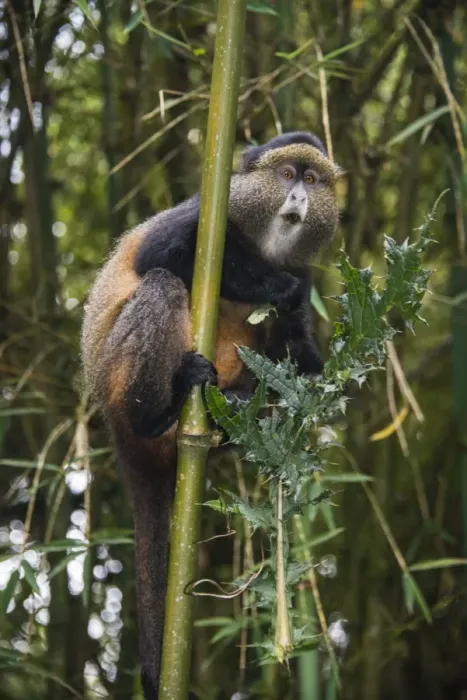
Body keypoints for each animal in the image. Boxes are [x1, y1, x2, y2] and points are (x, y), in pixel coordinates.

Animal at [81, 131, 341, 699]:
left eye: (312, 180)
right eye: (286, 175)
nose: (299, 198)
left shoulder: (305, 269)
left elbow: (302, 360)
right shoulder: (205, 215)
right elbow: (159, 252)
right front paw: (273, 288)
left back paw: (236, 411)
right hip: (118, 376)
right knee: (161, 283)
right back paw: (160, 410)